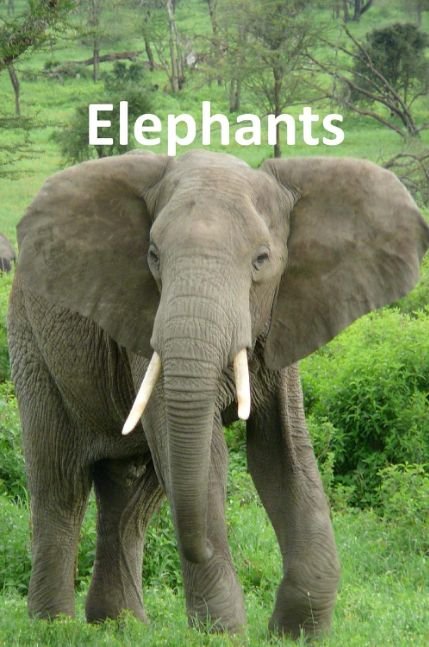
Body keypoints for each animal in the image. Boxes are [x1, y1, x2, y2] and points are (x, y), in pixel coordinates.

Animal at [8, 150, 429, 639]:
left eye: (261, 259)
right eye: (153, 256)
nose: (201, 549)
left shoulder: (283, 319)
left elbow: (283, 455)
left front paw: (296, 633)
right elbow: (207, 458)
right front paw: (221, 632)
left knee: (132, 495)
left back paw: (120, 626)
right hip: (31, 342)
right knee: (61, 481)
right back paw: (54, 627)